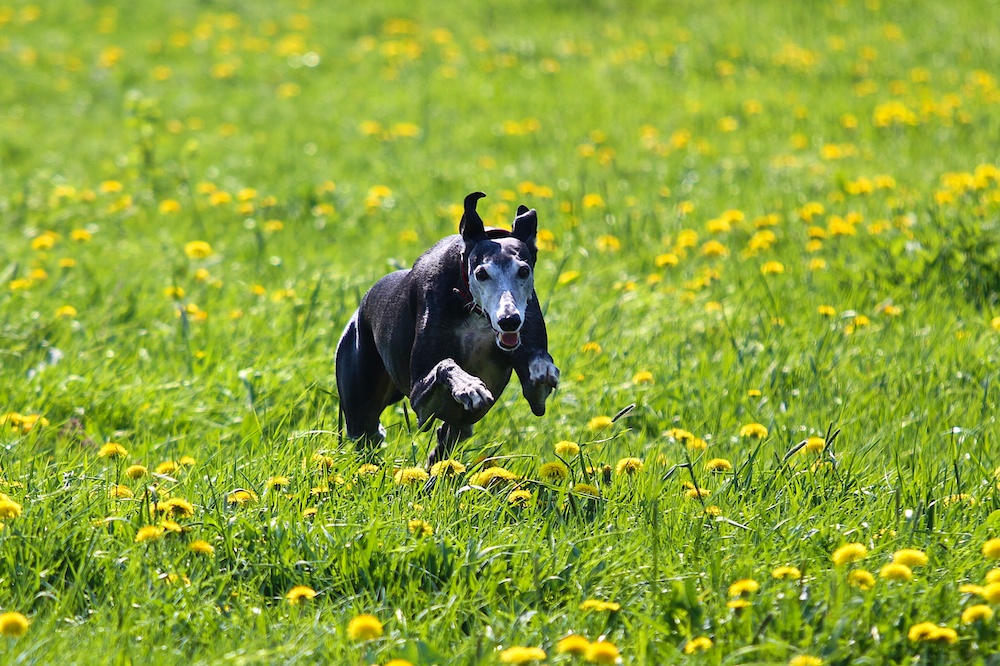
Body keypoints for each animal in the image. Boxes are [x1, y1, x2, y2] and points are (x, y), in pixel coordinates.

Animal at [334, 189, 556, 464]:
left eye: (523, 271)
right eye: (481, 273)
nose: (509, 320)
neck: (474, 311)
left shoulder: (536, 396)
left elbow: (537, 371)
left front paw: (543, 367)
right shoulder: (420, 401)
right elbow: (445, 364)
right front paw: (469, 386)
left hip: (456, 426)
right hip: (360, 405)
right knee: (368, 432)